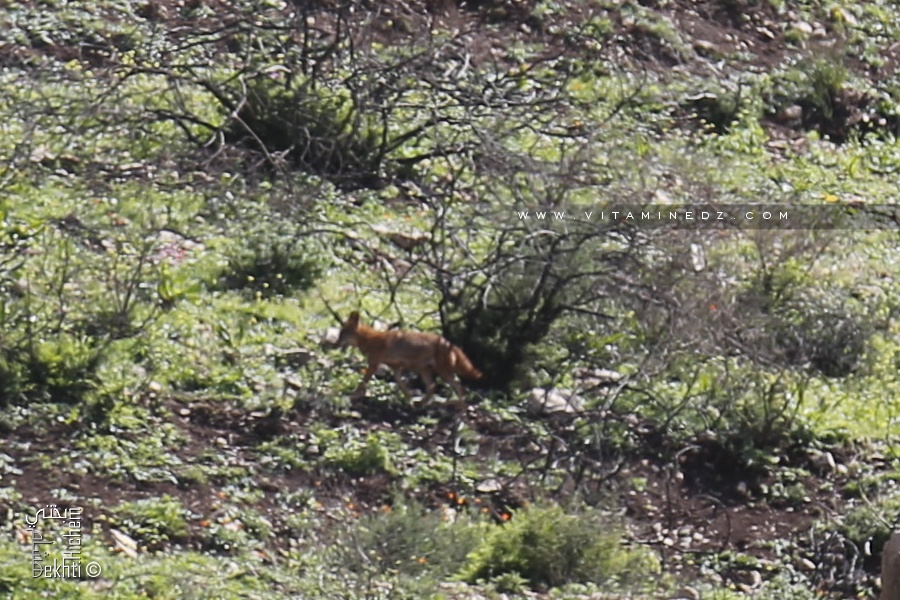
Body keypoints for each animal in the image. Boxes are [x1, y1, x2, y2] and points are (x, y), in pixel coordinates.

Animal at [336, 311, 482, 402]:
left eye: (342, 334)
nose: (335, 344)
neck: (370, 339)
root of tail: (450, 343)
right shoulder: (396, 368)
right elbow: (401, 385)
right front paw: (410, 398)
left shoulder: (374, 365)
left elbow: (362, 383)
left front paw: (353, 396)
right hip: (426, 371)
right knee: (434, 387)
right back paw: (423, 404)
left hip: (442, 372)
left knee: (459, 389)